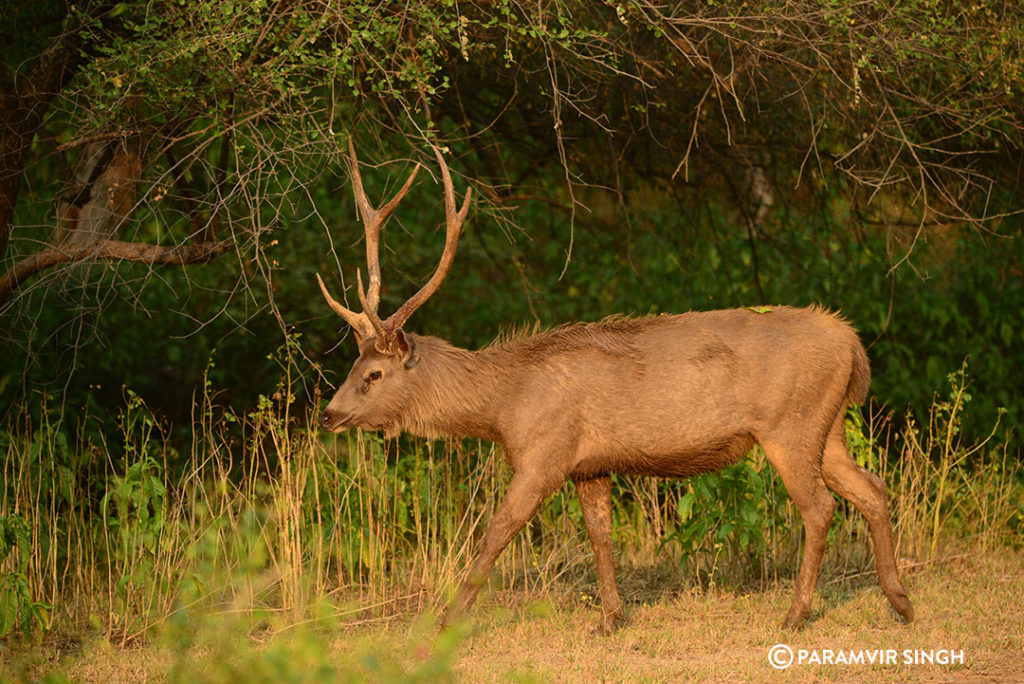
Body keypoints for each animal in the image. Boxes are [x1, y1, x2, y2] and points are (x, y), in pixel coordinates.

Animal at [317, 141, 913, 634]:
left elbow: (497, 532)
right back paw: (901, 601)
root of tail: (853, 345)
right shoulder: (590, 465)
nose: (328, 413)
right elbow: (600, 534)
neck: (503, 404)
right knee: (873, 489)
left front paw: (444, 621)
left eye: (374, 373)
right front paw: (610, 617)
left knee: (820, 508)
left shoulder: (544, 453)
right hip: (826, 428)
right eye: (353, 361)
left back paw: (796, 615)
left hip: (790, 424)